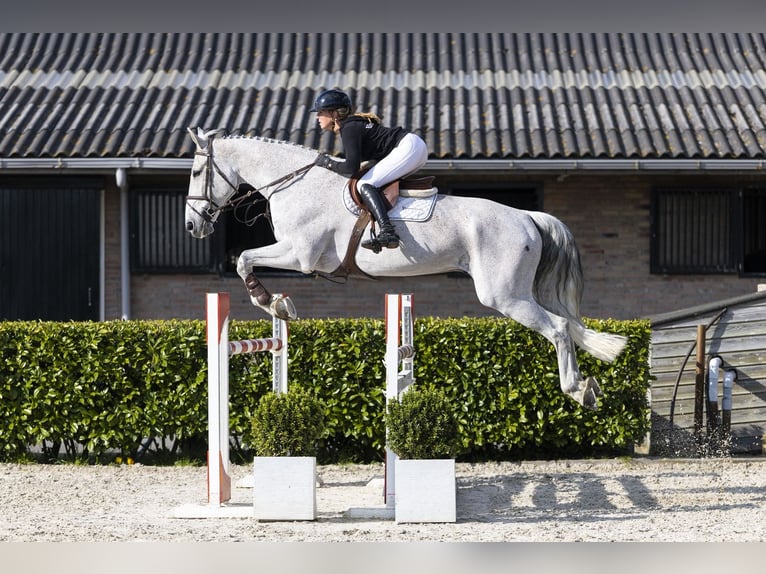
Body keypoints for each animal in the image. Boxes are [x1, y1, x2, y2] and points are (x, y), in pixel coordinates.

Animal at [184, 127, 627, 410]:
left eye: (196, 171)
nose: (192, 226)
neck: (295, 182)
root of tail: (526, 216)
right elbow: (245, 259)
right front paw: (277, 304)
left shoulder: (300, 256)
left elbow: (244, 258)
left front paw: (272, 302)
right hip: (521, 292)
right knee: (565, 325)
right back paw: (588, 386)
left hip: (505, 296)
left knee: (558, 327)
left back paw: (577, 390)